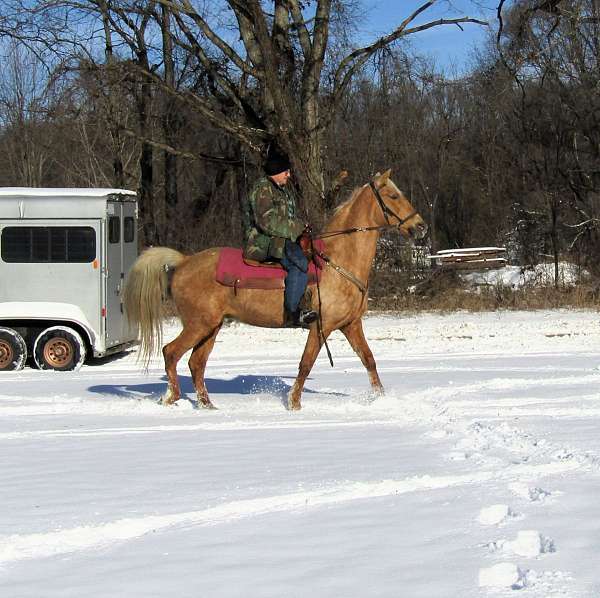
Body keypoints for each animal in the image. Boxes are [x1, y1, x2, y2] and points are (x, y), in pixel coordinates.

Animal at [123, 171, 426, 410]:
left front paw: (381, 398)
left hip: (211, 327)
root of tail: (184, 261)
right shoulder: (322, 327)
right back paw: (171, 397)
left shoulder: (351, 325)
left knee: (196, 363)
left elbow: (369, 360)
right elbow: (306, 363)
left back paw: (207, 404)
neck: (337, 261)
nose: (420, 227)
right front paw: (294, 403)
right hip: (199, 325)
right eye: (393, 195)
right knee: (171, 352)